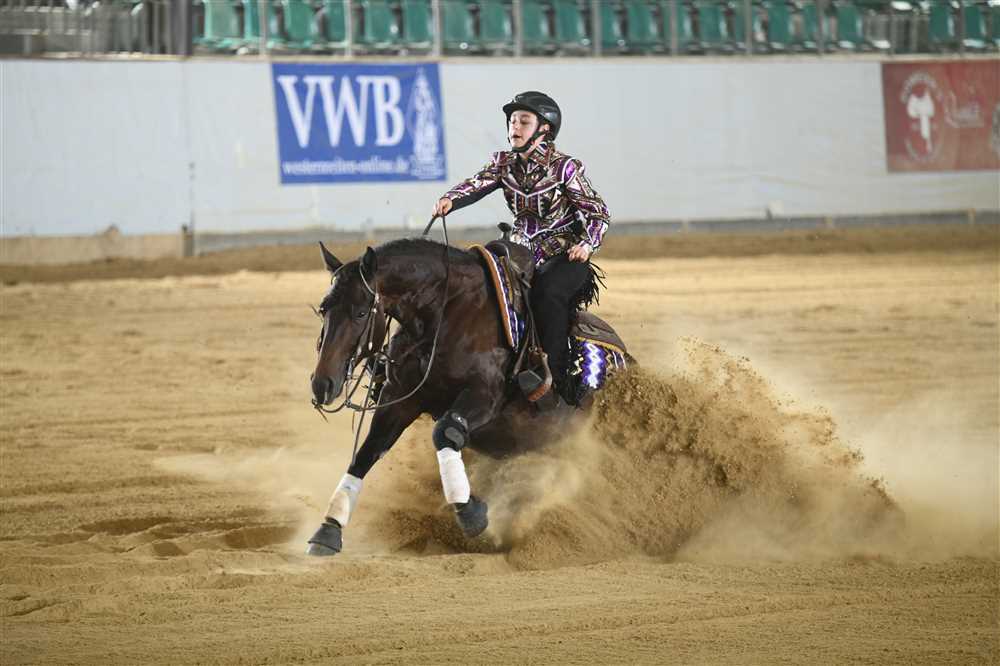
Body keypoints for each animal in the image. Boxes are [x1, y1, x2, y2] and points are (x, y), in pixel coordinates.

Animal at [305, 235, 628, 555]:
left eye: (361, 312)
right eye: (323, 309)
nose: (323, 384)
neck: (446, 315)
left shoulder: (484, 396)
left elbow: (445, 432)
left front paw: (470, 513)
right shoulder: (400, 399)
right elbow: (366, 452)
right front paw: (328, 528)